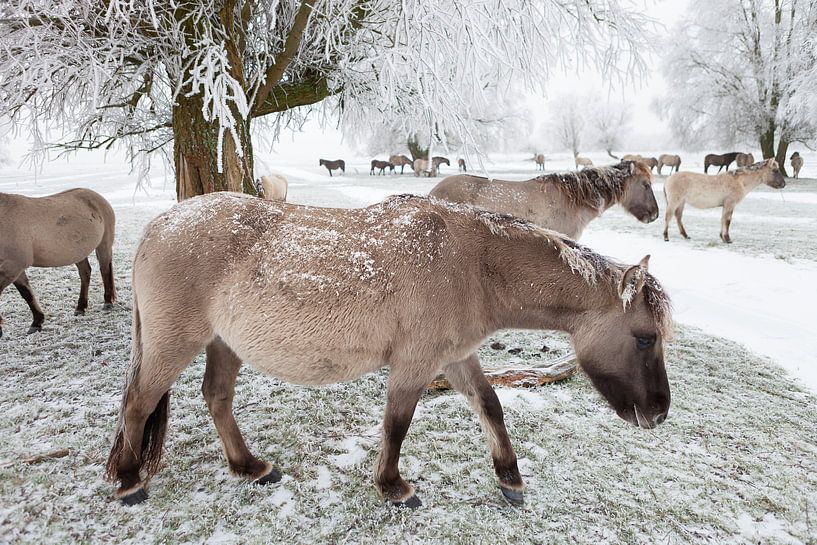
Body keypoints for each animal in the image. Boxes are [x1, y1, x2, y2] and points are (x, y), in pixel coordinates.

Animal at [0, 189, 118, 338]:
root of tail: (98, 197)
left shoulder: (14, 266)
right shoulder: (15, 269)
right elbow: (26, 293)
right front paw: (37, 322)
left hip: (104, 245)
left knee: (105, 270)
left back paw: (107, 302)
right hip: (78, 253)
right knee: (85, 273)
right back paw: (80, 308)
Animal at [105, 191, 672, 506]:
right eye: (645, 337)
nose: (659, 413)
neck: (472, 264)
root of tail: (159, 226)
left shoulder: (454, 356)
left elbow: (490, 406)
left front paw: (509, 478)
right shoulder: (416, 362)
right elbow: (397, 423)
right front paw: (393, 486)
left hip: (223, 344)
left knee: (216, 397)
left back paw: (250, 467)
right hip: (174, 342)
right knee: (137, 403)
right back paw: (131, 482)